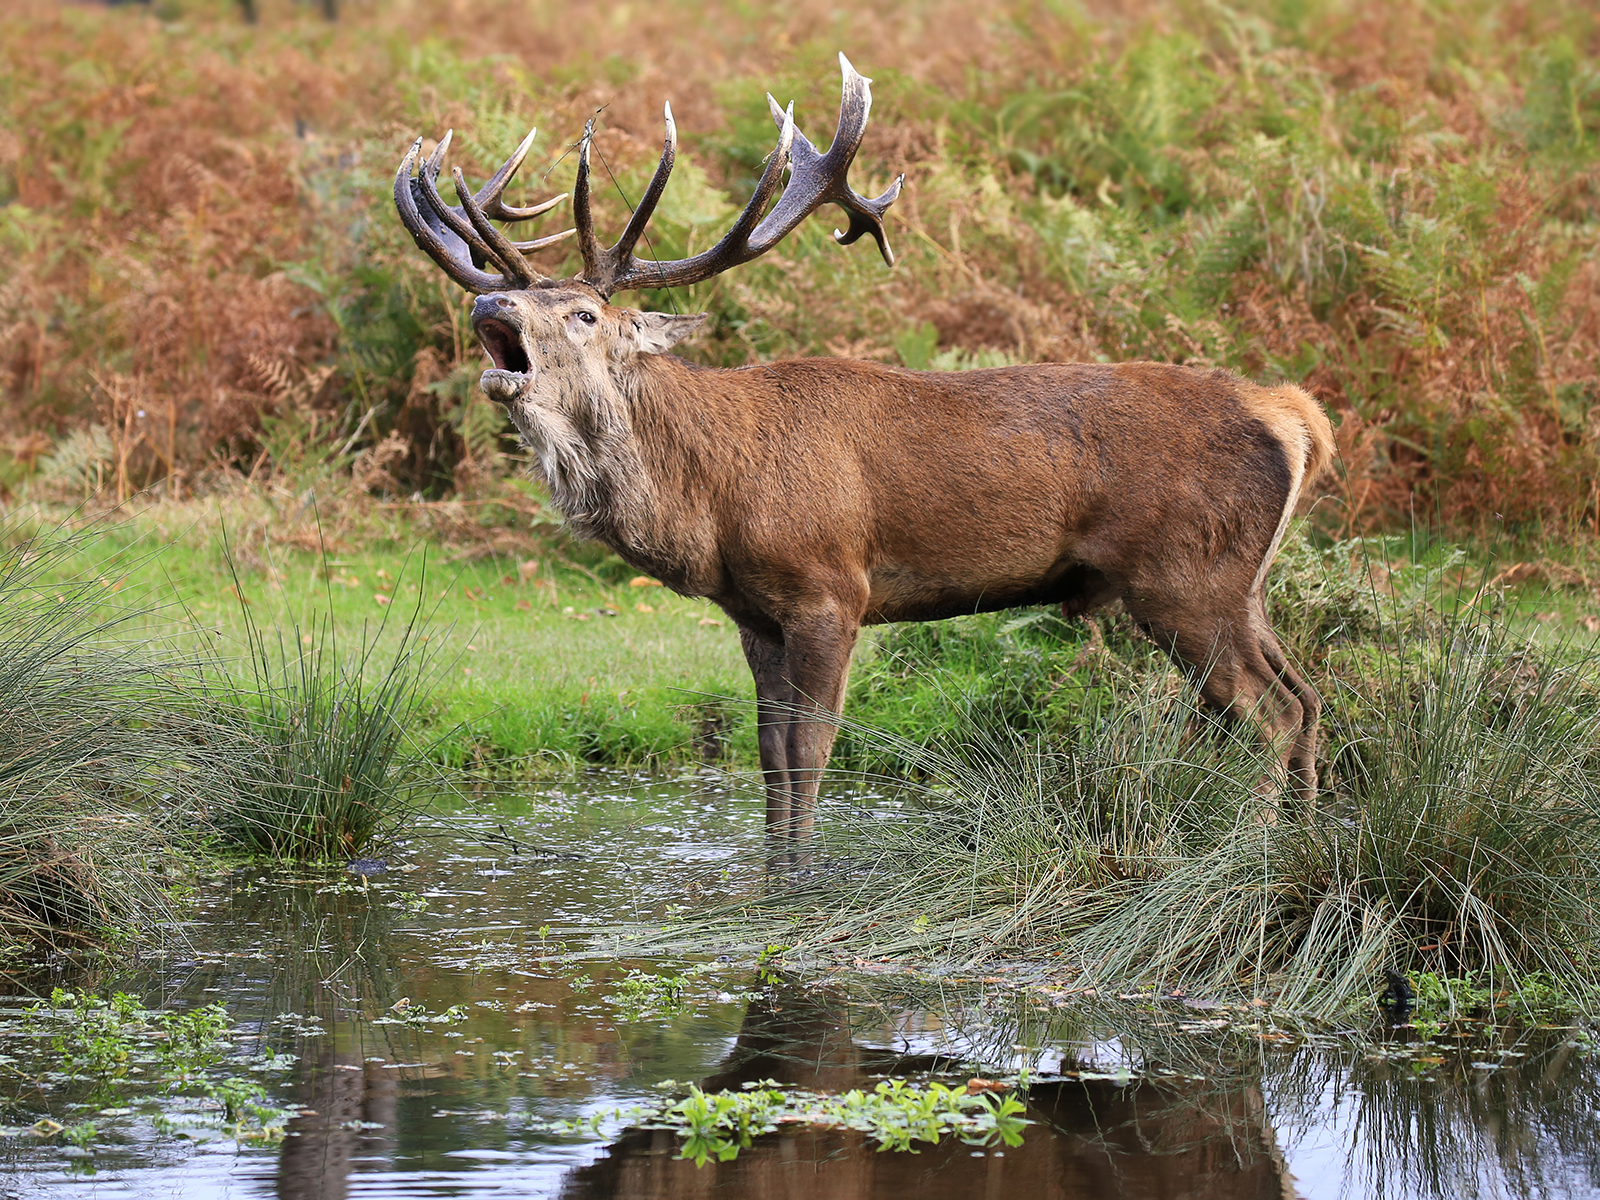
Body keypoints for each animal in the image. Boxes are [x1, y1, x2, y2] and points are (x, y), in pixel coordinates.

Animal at [393, 54, 1334, 861]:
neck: (713, 496)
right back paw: (1305, 843)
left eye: (584, 314)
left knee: (1271, 715)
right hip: (1238, 583)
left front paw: (805, 875)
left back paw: (1251, 853)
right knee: (1307, 695)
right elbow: (768, 751)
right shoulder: (753, 614)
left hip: (1185, 577)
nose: (491, 303)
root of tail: (1292, 415)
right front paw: (773, 863)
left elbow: (812, 747)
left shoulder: (829, 587)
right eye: (511, 297)